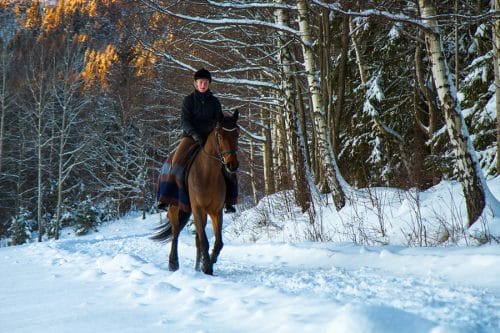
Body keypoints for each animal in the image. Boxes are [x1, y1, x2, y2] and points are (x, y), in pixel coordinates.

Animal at [151, 110, 239, 274]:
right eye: (220, 136)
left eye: (237, 134)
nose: (232, 165)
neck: (208, 174)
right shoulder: (197, 208)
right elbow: (204, 241)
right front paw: (207, 268)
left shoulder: (216, 211)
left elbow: (218, 242)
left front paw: (207, 263)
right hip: (175, 207)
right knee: (175, 232)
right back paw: (173, 263)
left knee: (196, 237)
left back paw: (198, 266)